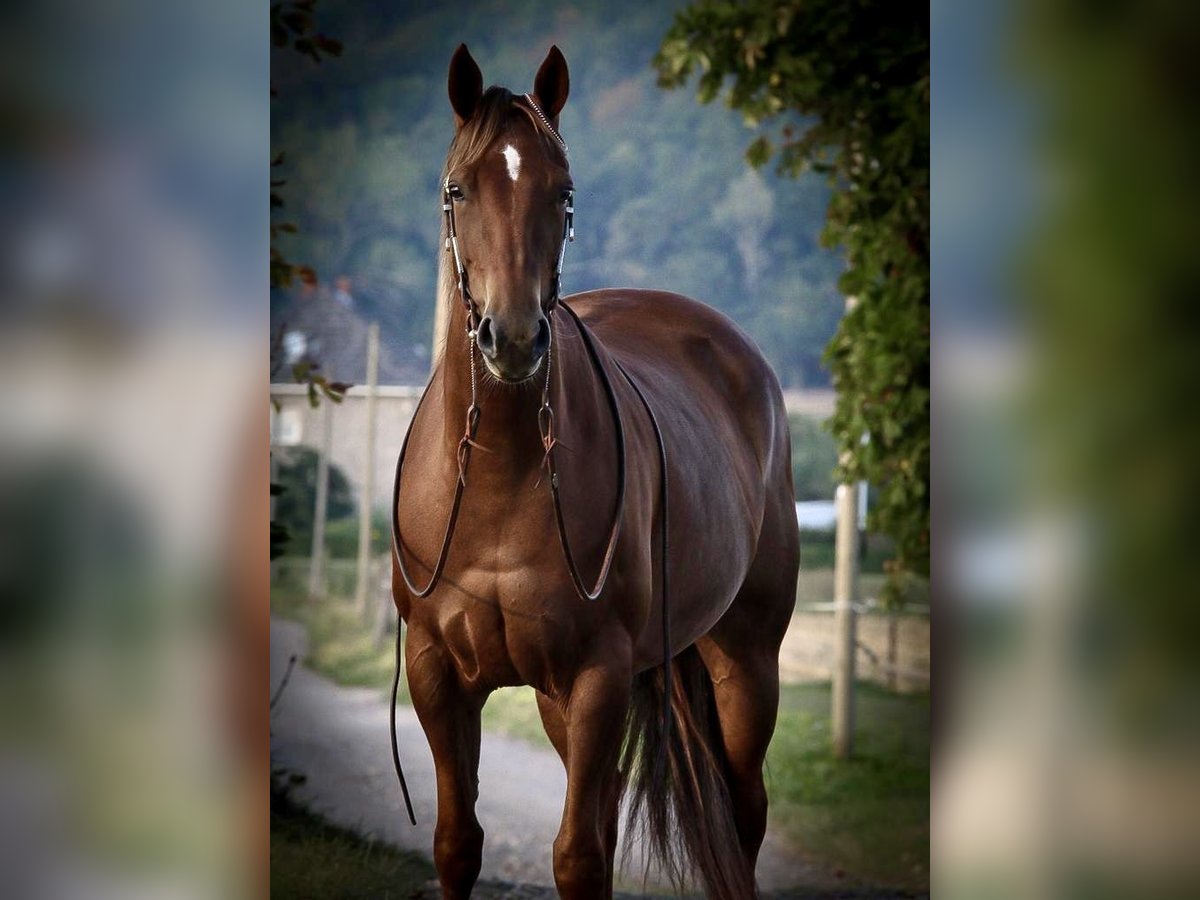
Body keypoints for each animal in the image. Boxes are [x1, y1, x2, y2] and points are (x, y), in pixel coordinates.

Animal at [391, 45, 796, 897]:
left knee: (743, 816)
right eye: (457, 189)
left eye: (564, 191)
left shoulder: (597, 678)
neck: (501, 486)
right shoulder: (438, 675)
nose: (512, 337)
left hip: (745, 666)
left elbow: (577, 857)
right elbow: (458, 842)